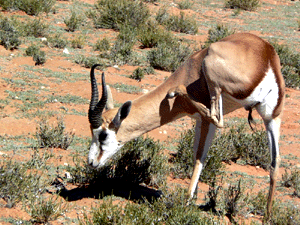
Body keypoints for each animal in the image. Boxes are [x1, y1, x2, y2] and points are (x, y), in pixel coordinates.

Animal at [88, 32, 284, 217]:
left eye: (103, 135)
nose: (91, 162)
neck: (189, 71)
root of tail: (266, 56)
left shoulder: (205, 121)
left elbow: (198, 157)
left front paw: (187, 201)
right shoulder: (199, 121)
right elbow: (199, 156)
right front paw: (194, 197)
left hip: (213, 77)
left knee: (217, 118)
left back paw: (174, 91)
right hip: (272, 117)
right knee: (275, 162)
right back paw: (267, 215)